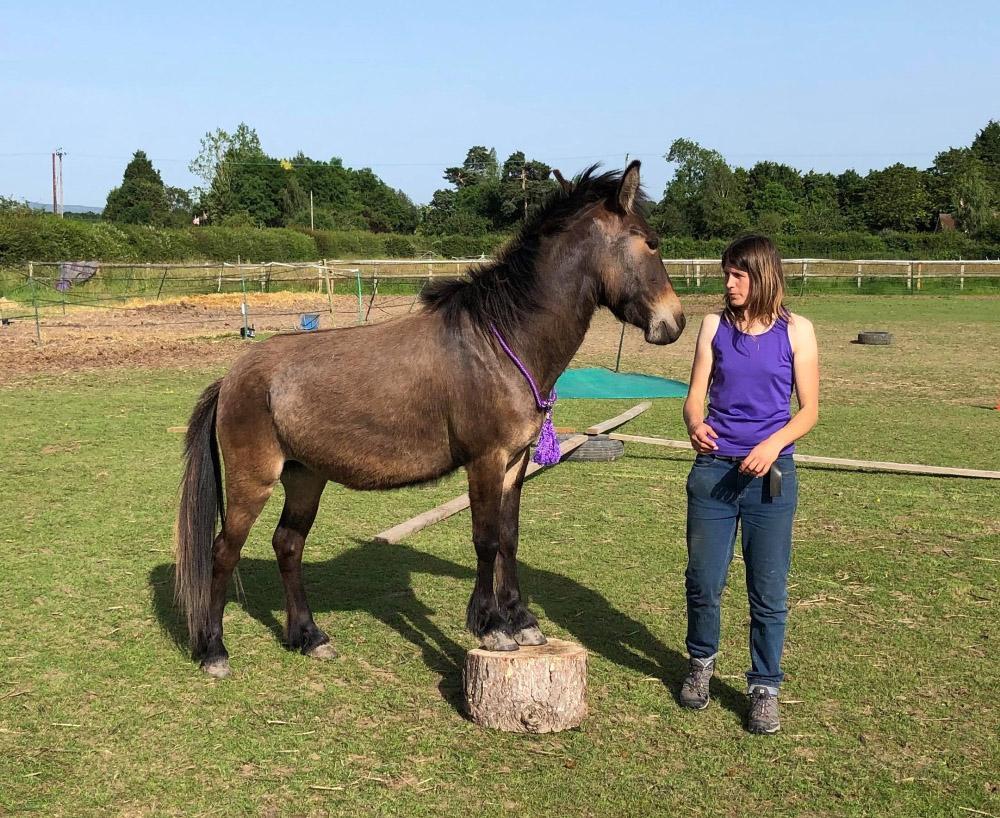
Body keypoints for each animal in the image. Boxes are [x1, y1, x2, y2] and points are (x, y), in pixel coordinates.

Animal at [174, 161, 686, 678]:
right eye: (651, 241)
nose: (675, 322)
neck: (498, 344)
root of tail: (231, 378)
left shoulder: (515, 463)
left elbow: (510, 537)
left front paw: (522, 622)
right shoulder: (485, 461)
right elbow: (486, 539)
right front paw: (492, 626)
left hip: (305, 477)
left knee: (287, 544)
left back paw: (309, 636)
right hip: (252, 481)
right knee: (223, 551)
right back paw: (214, 651)